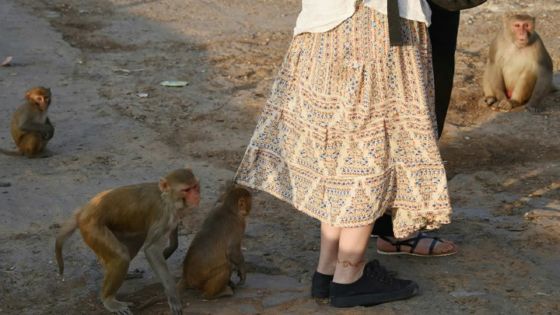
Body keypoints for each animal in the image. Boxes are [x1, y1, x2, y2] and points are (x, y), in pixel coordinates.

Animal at [55, 169, 200, 315]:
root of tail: (83, 211)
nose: (196, 195)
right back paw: (108, 299)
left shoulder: (174, 214)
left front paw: (169, 249)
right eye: (186, 190)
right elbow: (151, 249)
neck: (167, 198)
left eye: (194, 187)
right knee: (121, 255)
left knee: (133, 242)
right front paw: (173, 295)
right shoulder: (163, 214)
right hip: (92, 227)